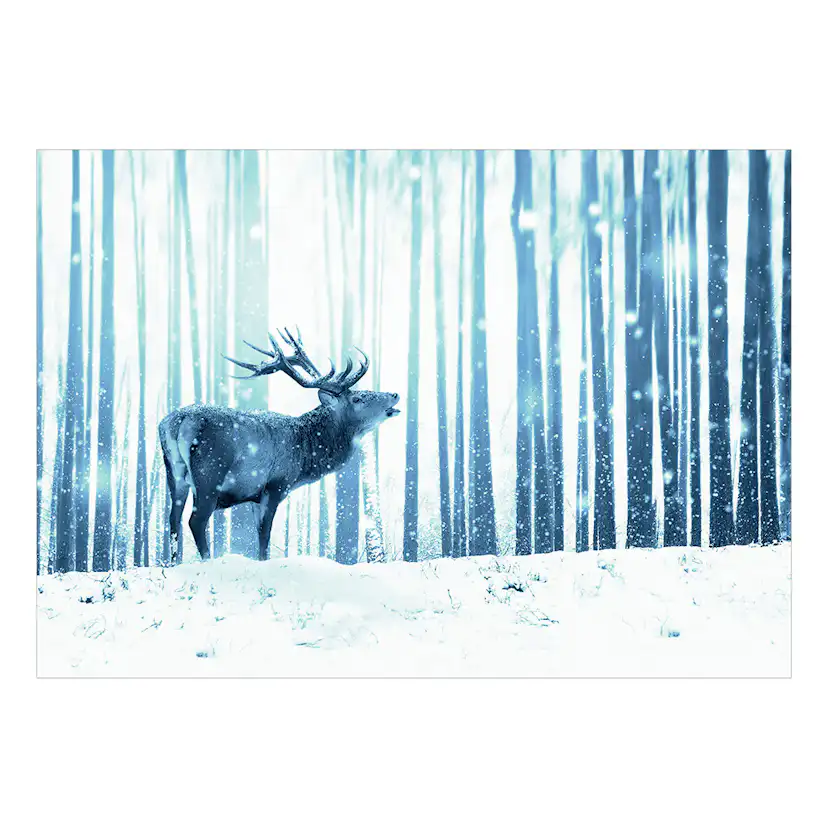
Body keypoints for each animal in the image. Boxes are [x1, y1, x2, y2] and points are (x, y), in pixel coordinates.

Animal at [158, 328, 400, 563]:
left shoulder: (255, 495)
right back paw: (207, 561)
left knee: (173, 519)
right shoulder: (276, 484)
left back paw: (173, 563)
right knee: (196, 520)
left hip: (175, 474)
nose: (395, 394)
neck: (304, 457)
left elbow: (259, 535)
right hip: (210, 472)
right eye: (357, 398)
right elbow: (265, 536)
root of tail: (178, 422)